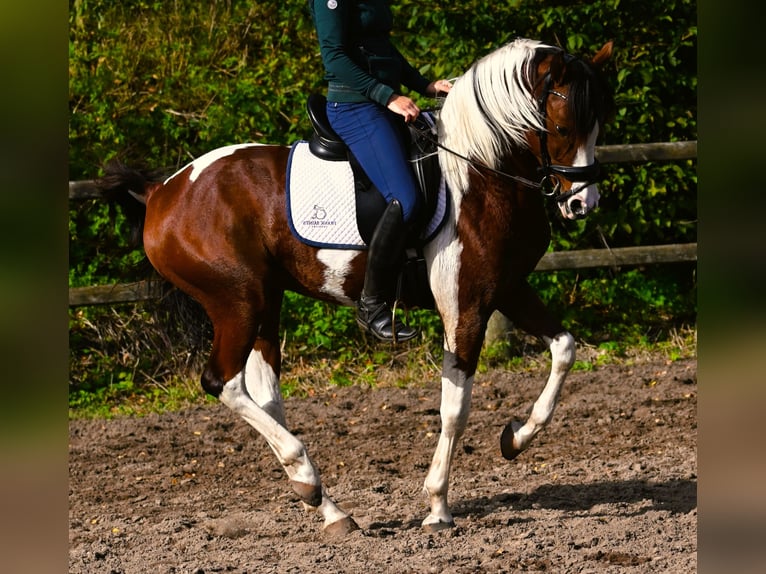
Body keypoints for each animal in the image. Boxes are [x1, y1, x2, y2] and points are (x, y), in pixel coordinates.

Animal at [100, 38, 616, 536]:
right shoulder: (465, 305)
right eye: (563, 126)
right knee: (223, 382)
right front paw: (437, 507)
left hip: (265, 301)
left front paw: (516, 438)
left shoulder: (508, 288)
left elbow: (565, 348)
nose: (583, 203)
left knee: (265, 393)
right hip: (238, 301)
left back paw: (328, 508)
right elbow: (455, 407)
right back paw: (307, 477)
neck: (480, 172)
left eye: (598, 125)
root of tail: (163, 192)